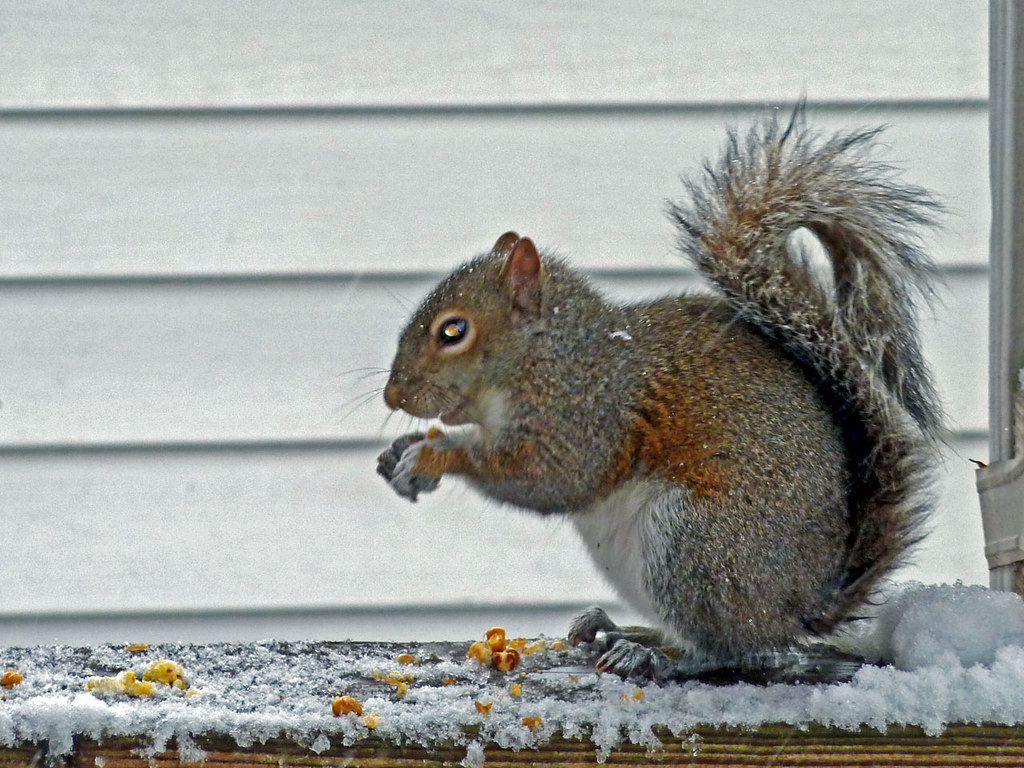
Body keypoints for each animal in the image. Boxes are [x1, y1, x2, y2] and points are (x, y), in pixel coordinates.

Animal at [376, 108, 943, 681]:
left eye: (453, 331)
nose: (393, 396)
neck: (546, 355)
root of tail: (803, 606)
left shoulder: (587, 410)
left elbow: (550, 477)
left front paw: (436, 454)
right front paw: (399, 452)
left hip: (698, 544)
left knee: (732, 647)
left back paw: (656, 656)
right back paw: (623, 628)